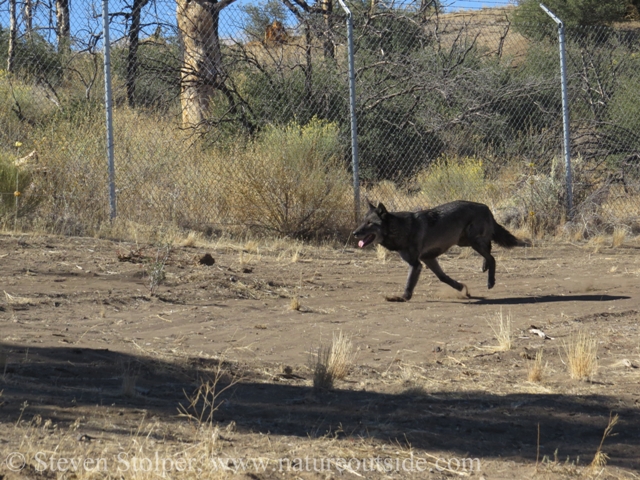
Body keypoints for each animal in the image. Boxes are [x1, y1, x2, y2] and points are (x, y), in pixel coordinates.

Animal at [352, 201, 524, 302]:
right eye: (363, 222)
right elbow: (444, 278)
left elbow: (408, 285)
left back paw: (490, 281)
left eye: (369, 223)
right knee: (489, 250)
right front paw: (461, 288)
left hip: (473, 242)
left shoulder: (416, 264)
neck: (399, 228)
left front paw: (401, 298)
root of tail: (486, 207)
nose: (354, 233)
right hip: (465, 242)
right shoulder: (428, 259)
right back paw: (484, 266)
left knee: (492, 257)